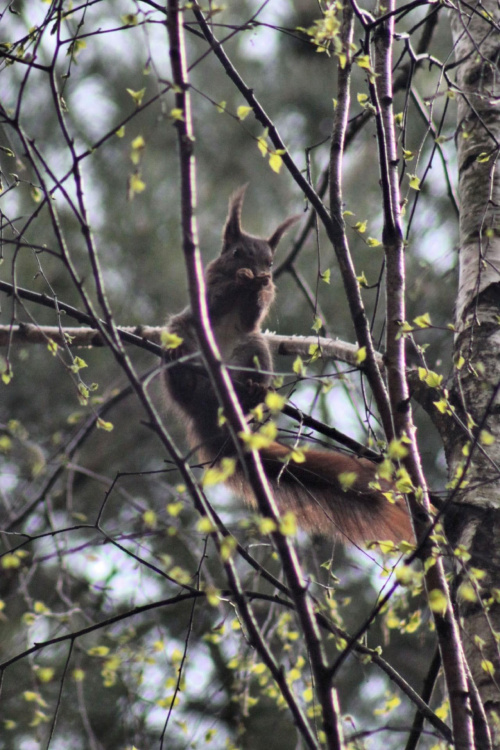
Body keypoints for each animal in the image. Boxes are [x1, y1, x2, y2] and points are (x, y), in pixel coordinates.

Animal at [163, 185, 410, 544]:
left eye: (270, 261)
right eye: (236, 253)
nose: (260, 272)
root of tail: (212, 414)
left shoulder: (254, 316)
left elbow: (253, 313)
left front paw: (258, 287)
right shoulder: (206, 285)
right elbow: (214, 300)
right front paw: (241, 280)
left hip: (252, 348)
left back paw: (253, 392)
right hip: (181, 333)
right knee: (182, 380)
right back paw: (179, 369)